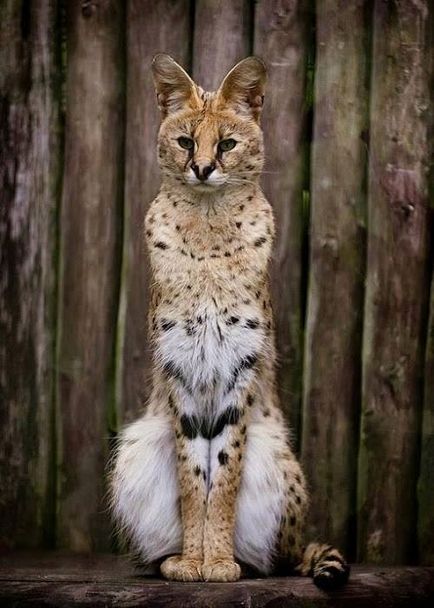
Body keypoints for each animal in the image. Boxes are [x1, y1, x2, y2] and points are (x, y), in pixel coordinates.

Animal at [110, 53, 350, 588]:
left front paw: (218, 562)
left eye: (226, 144)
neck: (207, 225)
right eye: (184, 142)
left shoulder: (238, 369)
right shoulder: (180, 369)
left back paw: (246, 560)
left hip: (276, 453)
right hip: (138, 443)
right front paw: (194, 561)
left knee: (279, 559)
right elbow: (191, 477)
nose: (201, 169)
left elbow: (223, 475)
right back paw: (170, 557)